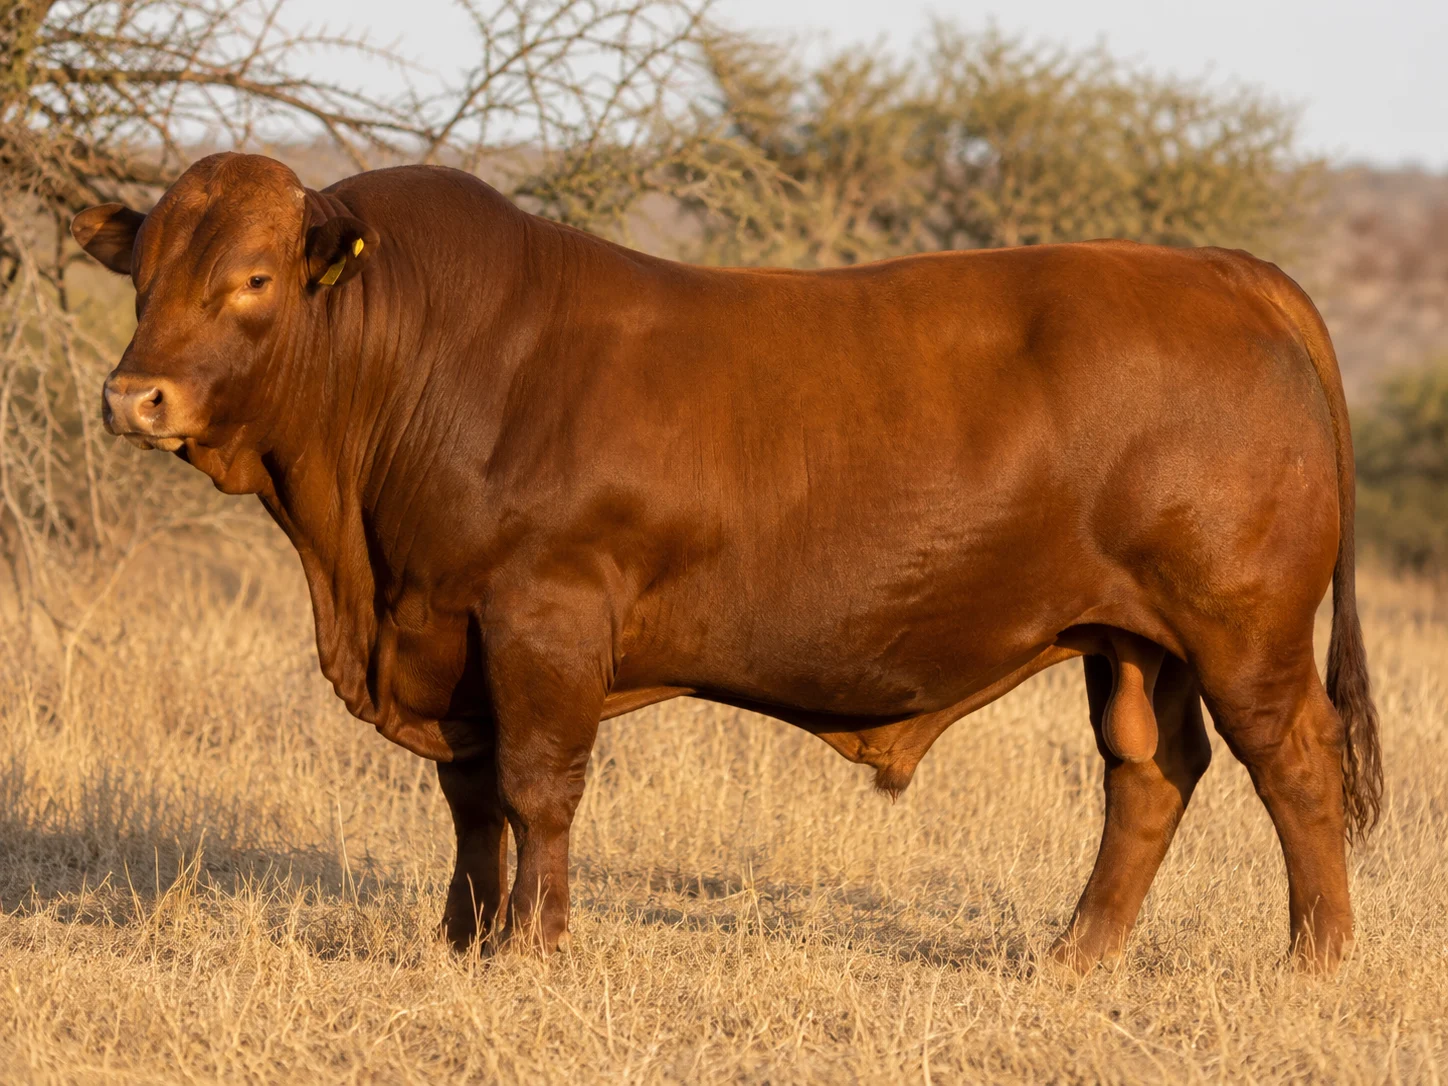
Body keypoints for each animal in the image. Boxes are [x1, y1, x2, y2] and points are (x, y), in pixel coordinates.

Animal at [71, 152, 1380, 974]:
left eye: (252, 280)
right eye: (143, 278)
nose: (134, 397)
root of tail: (1220, 267)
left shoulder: (542, 616)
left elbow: (537, 788)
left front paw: (533, 947)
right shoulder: (448, 634)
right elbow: (470, 799)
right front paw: (463, 939)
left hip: (1242, 628)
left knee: (1294, 765)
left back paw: (1313, 962)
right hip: (1131, 638)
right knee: (1149, 773)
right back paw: (1074, 959)